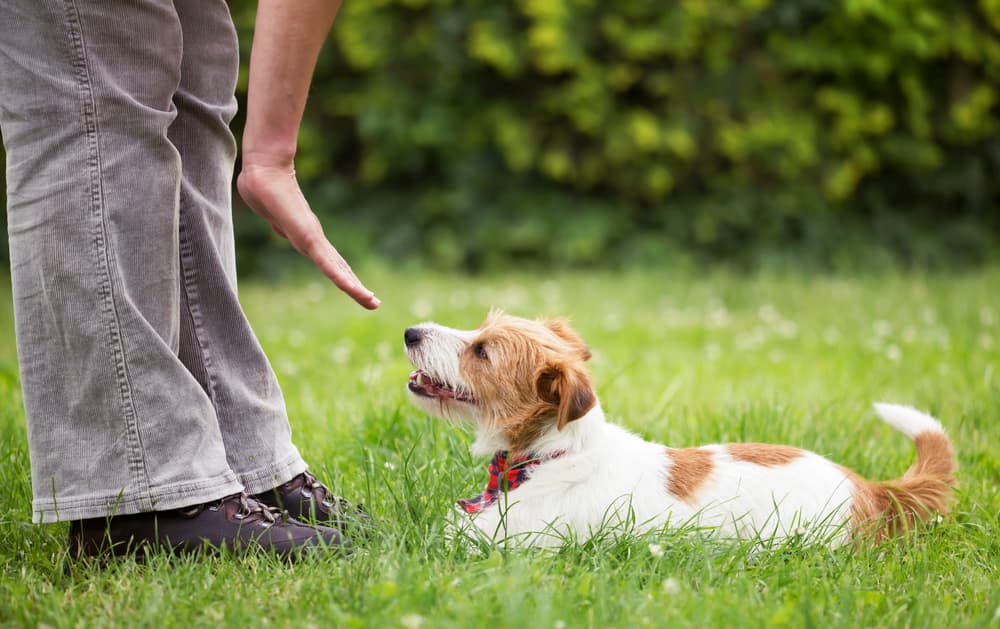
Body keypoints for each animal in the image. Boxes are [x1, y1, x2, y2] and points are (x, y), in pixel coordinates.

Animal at [402, 312, 956, 548]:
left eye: (481, 351)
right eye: (478, 329)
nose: (409, 331)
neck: (552, 455)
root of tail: (870, 489)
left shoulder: (513, 541)